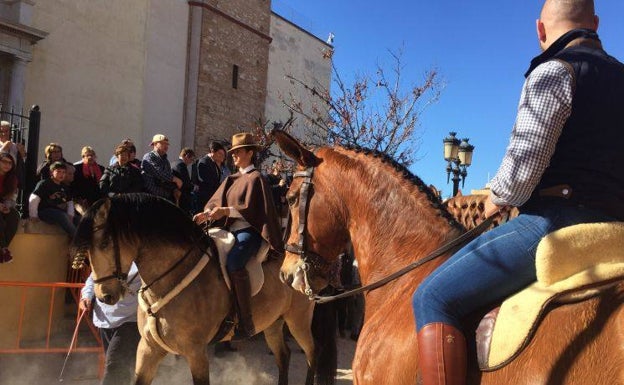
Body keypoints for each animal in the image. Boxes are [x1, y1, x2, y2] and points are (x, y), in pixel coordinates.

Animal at [69, 194, 336, 384]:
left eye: (105, 243)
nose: (105, 296)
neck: (171, 276)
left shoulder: (196, 353)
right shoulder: (148, 349)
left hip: (298, 320)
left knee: (313, 353)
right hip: (272, 324)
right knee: (284, 356)